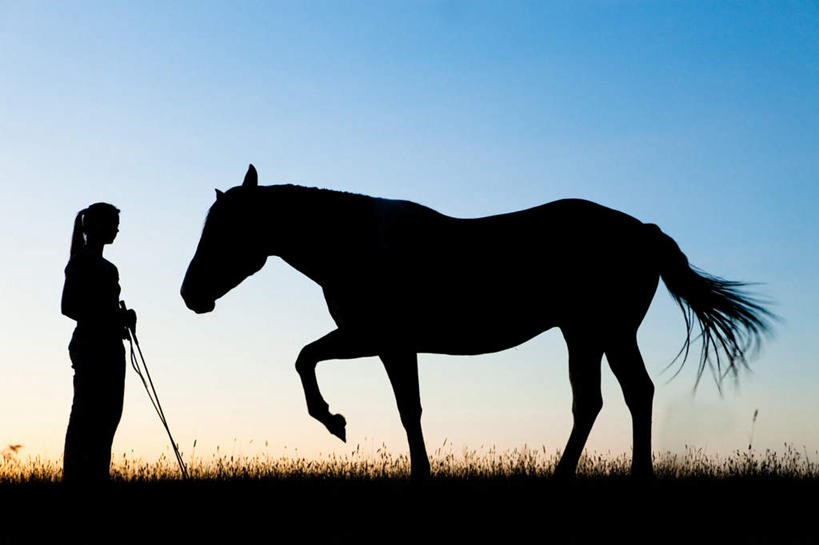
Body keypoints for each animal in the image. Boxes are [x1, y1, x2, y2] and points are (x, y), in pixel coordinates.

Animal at [183, 164, 772, 478]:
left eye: (226, 230)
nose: (190, 295)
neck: (357, 245)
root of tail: (643, 230)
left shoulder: (378, 339)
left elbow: (315, 363)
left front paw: (334, 421)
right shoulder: (387, 344)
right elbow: (403, 407)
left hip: (600, 331)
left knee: (618, 397)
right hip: (591, 333)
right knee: (612, 398)